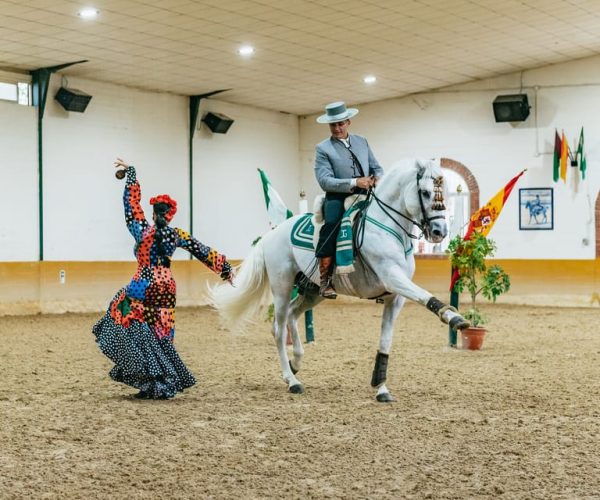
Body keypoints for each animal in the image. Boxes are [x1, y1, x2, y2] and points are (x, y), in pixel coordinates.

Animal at [213, 159, 472, 402]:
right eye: (426, 192)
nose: (439, 231)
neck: (388, 228)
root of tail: (271, 234)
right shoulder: (392, 277)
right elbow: (425, 295)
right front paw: (455, 318)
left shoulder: (395, 298)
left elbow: (385, 341)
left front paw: (381, 388)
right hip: (282, 287)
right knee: (278, 329)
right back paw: (292, 380)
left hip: (313, 291)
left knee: (293, 316)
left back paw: (296, 364)